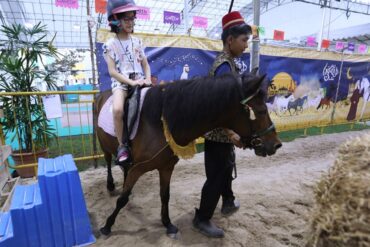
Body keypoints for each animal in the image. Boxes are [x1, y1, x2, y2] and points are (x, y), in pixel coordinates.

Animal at [94, 71, 280, 237]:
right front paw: (107, 226)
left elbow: (165, 196)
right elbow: (122, 199)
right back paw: (110, 185)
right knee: (109, 161)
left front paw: (168, 224)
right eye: (262, 110)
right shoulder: (138, 168)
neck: (159, 122)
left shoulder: (166, 167)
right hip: (104, 146)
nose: (276, 144)